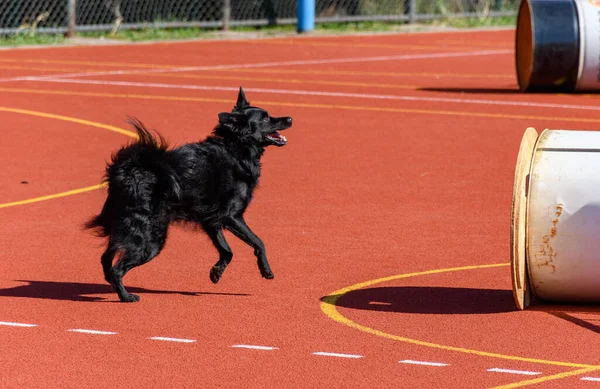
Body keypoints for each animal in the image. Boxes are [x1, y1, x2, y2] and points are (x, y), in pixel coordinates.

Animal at [85, 86, 292, 302]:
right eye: (266, 118)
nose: (290, 119)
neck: (235, 148)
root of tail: (130, 170)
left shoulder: (211, 220)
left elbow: (226, 250)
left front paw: (216, 272)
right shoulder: (232, 216)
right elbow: (258, 242)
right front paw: (266, 269)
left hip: (123, 226)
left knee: (106, 257)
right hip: (150, 239)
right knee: (117, 268)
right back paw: (126, 296)